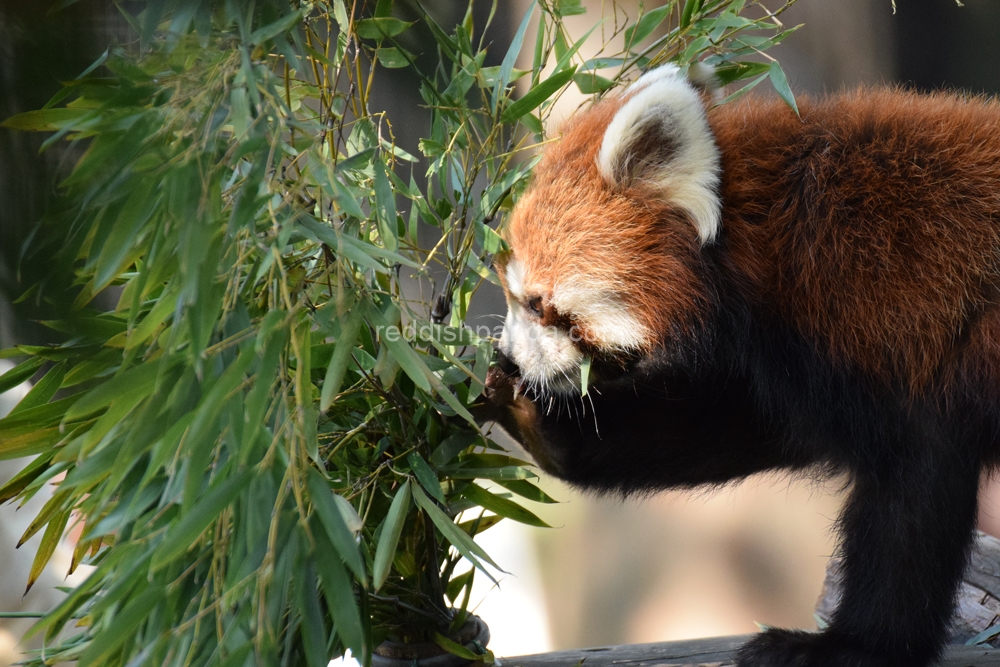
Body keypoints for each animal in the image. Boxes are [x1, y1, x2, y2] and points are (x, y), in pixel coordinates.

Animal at [480, 65, 1000, 667]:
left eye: (537, 303)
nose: (509, 357)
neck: (767, 237)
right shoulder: (786, 366)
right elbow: (727, 424)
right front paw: (543, 425)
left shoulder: (892, 318)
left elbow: (912, 489)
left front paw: (853, 645)